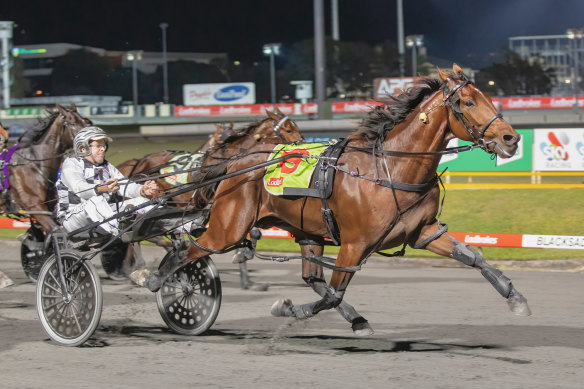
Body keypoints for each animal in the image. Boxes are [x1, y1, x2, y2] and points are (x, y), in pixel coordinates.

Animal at [0, 103, 91, 278]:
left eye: (86, 121)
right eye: (71, 122)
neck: (36, 165)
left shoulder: (49, 207)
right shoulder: (35, 207)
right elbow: (56, 231)